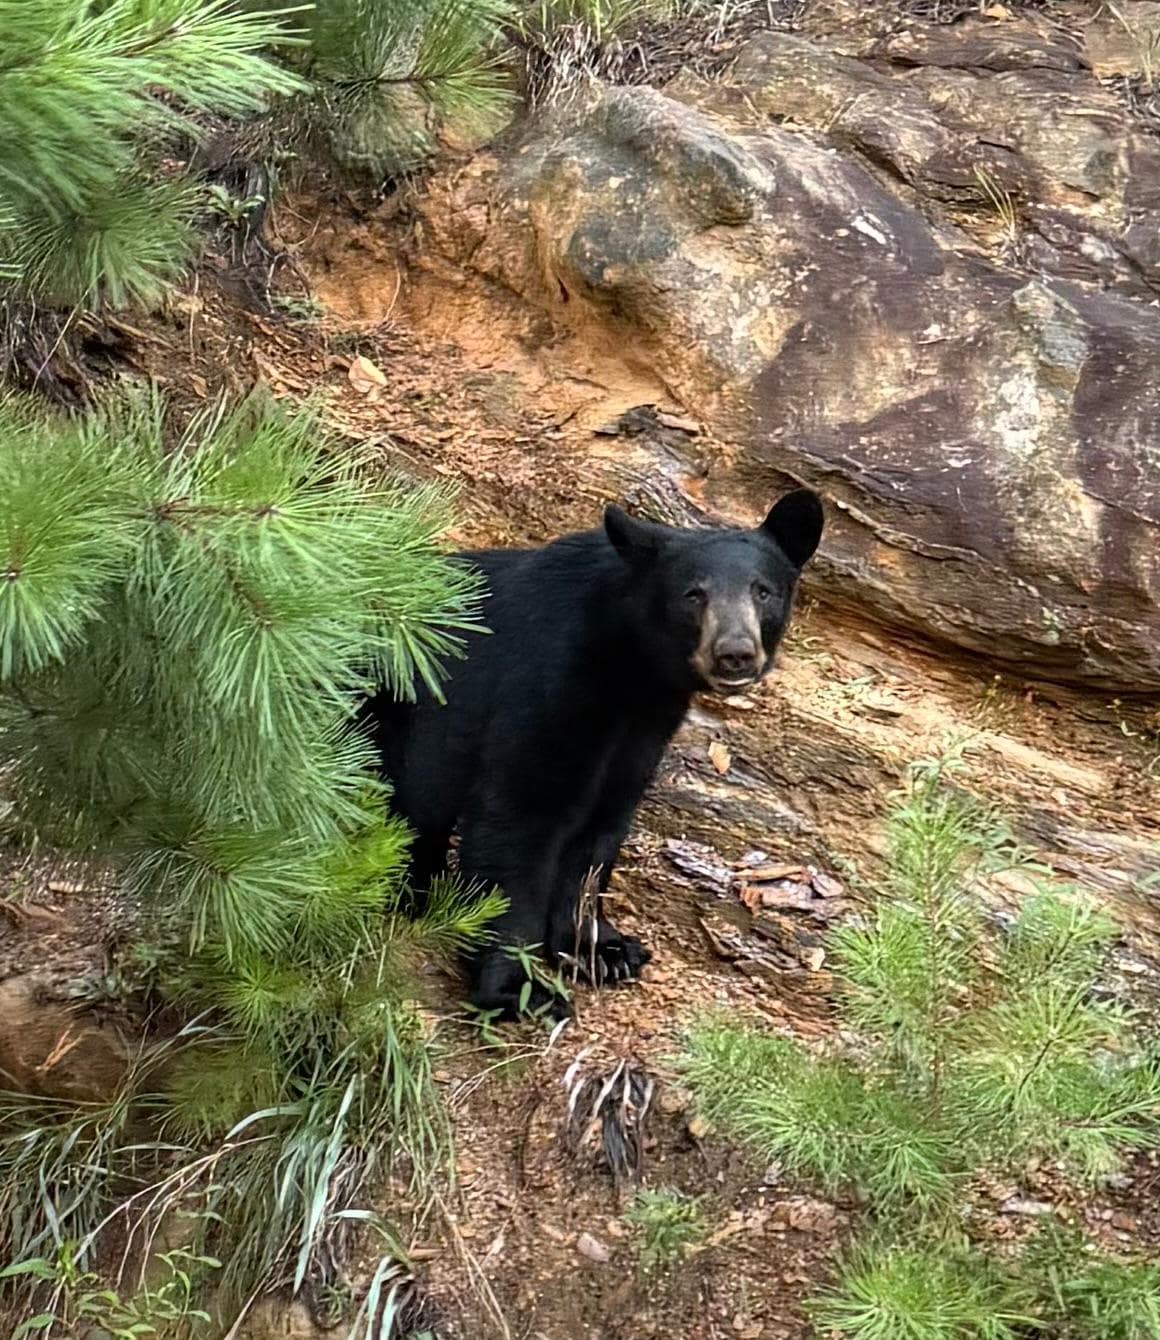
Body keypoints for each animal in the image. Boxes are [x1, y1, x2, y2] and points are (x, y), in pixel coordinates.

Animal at [361, 489, 824, 1018]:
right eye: (693, 594)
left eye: (762, 591)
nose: (735, 654)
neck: (629, 665)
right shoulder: (548, 677)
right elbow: (520, 815)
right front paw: (517, 985)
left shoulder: (642, 729)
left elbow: (599, 829)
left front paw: (604, 949)